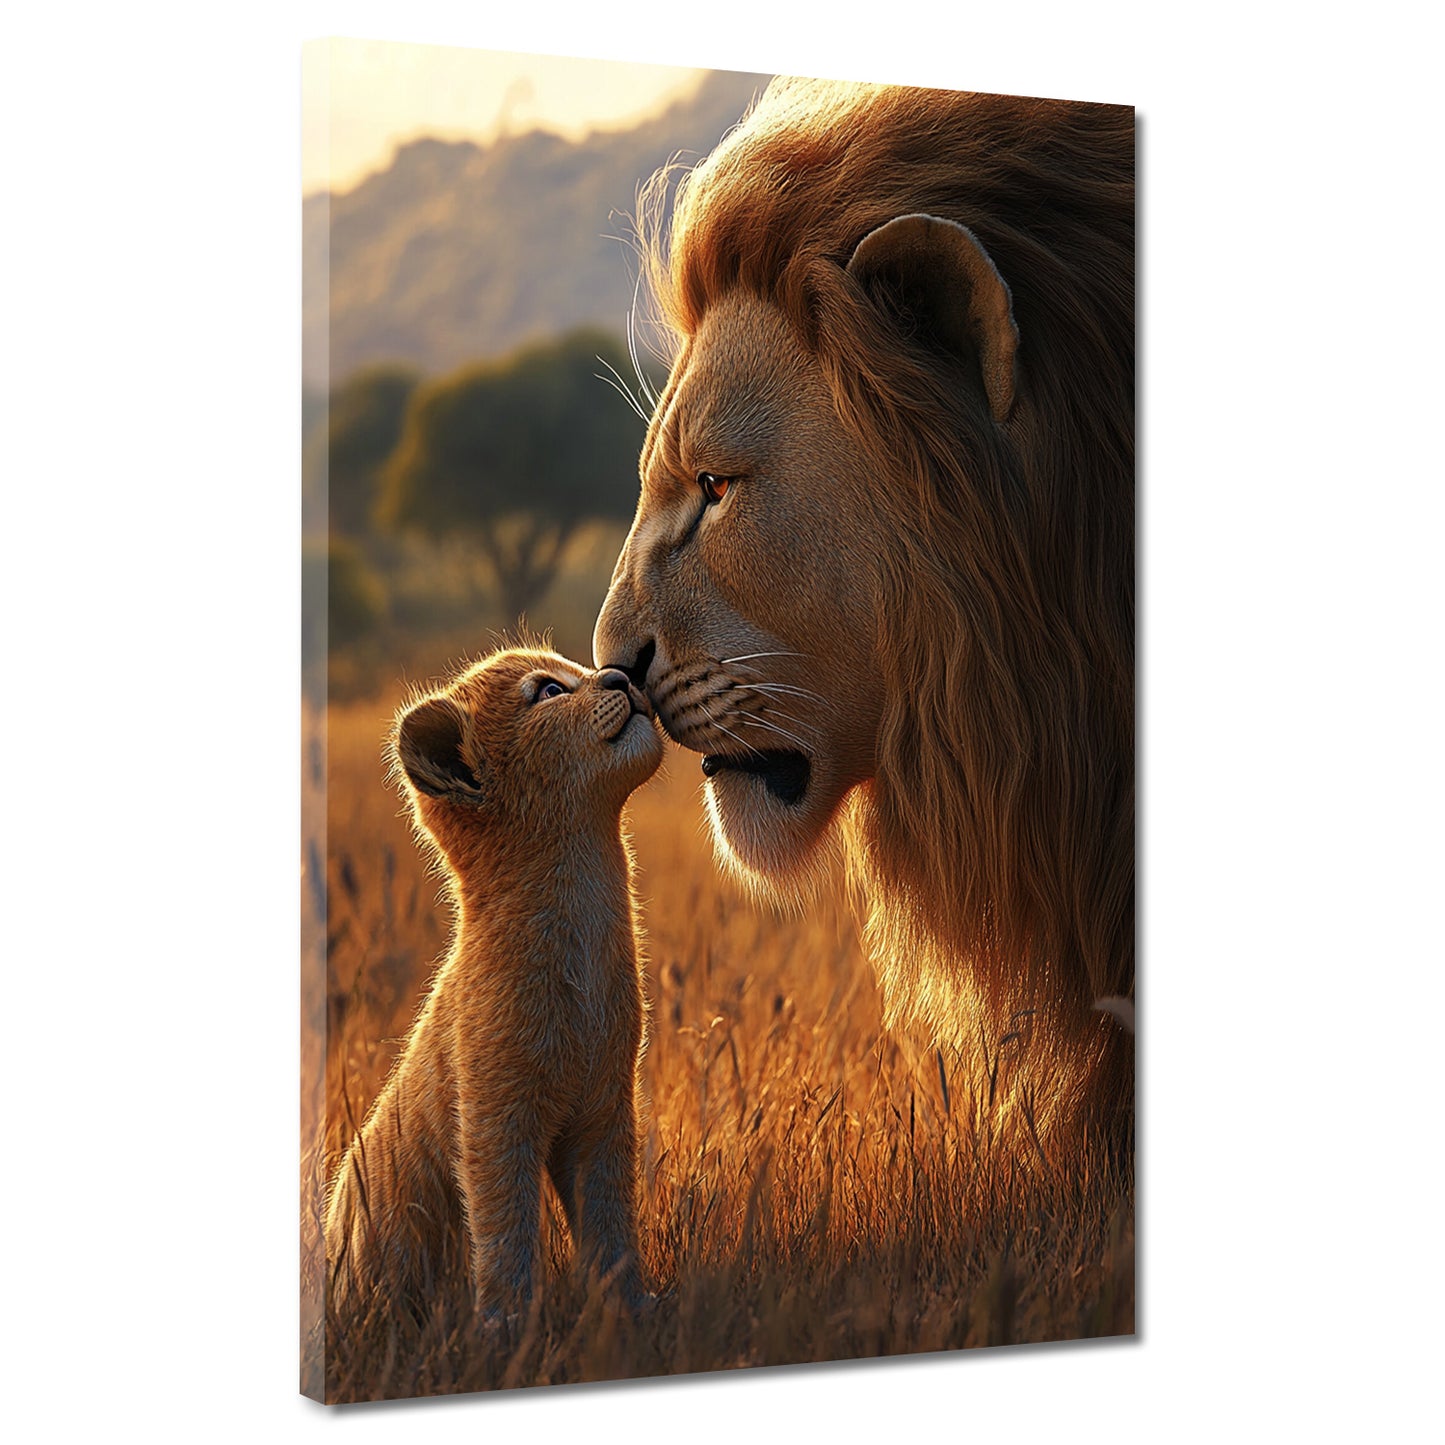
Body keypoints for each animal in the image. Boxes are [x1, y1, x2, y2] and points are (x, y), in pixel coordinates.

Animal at [324, 648, 662, 1317]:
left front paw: (629, 1310)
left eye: (576, 666)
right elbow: (505, 1230)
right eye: (549, 691)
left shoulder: (604, 1111)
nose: (624, 676)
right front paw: (509, 1324)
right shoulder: (494, 1119)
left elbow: (610, 1220)